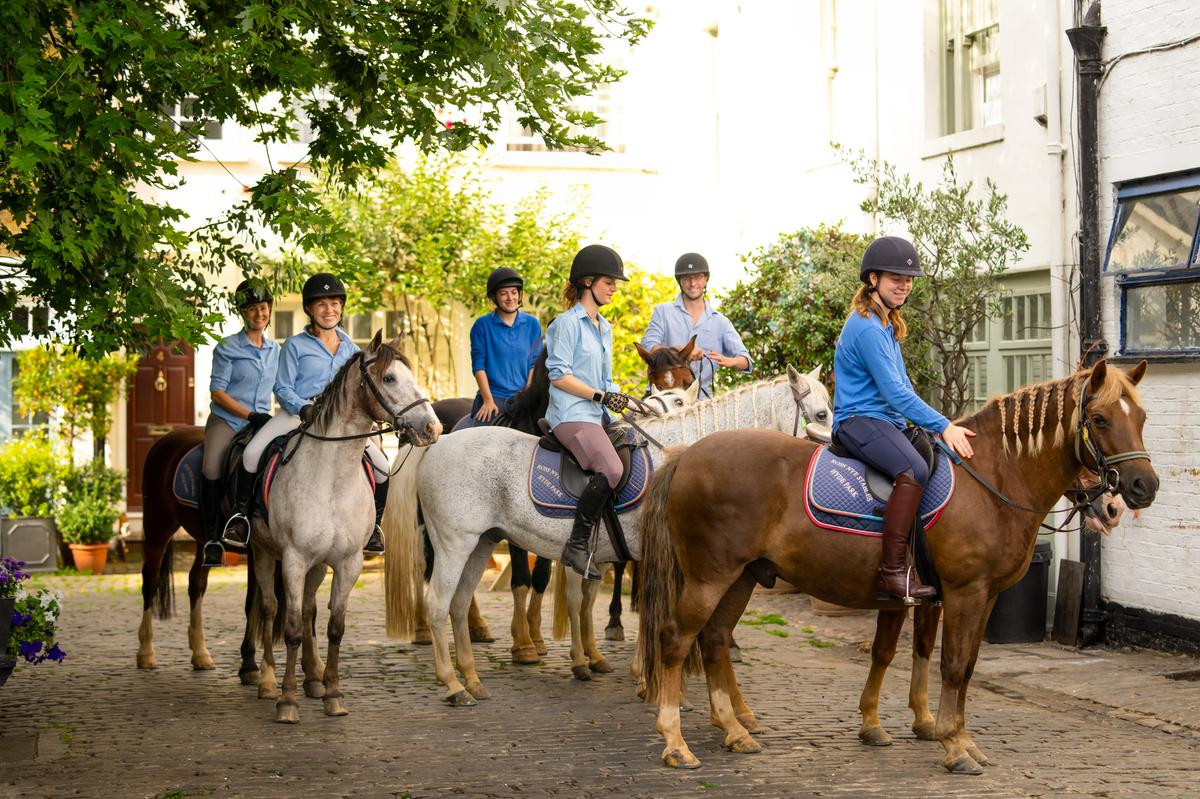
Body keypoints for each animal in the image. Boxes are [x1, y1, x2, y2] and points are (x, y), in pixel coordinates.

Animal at [252, 331, 441, 719]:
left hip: (317, 565)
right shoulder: (293, 560)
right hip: (263, 553)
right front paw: (287, 701)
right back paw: (267, 682)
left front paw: (333, 695)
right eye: (390, 378)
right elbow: (292, 629)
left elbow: (334, 628)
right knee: (270, 607)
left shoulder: (347, 562)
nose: (432, 428)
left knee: (308, 609)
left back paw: (313, 678)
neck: (331, 480)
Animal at [384, 364, 835, 700]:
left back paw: (473, 679)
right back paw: (453, 683)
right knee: (438, 603)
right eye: (822, 414)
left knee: (459, 604)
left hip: (482, 542)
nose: (837, 456)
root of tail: (439, 442)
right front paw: (647, 678)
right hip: (453, 543)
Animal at [633, 359, 1156, 772]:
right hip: (709, 577)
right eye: (1100, 419)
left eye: (1143, 417)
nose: (1139, 489)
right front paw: (955, 745)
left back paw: (735, 731)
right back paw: (675, 742)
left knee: (715, 641)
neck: (991, 477)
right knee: (676, 640)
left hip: (740, 578)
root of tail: (684, 456)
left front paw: (936, 731)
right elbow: (952, 665)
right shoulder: (964, 592)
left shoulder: (962, 597)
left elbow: (945, 662)